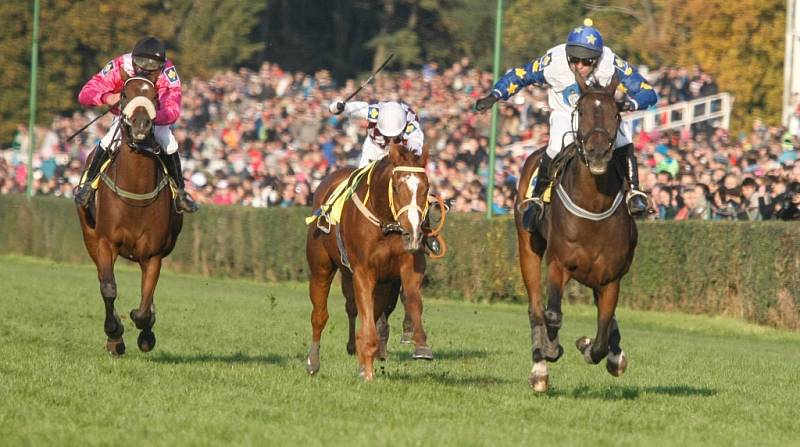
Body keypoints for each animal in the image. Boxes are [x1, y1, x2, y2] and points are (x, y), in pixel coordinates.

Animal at [76, 70, 183, 356]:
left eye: (155, 96)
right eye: (124, 94)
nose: (141, 125)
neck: (135, 190)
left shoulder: (154, 253)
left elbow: (145, 306)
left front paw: (145, 332)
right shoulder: (105, 242)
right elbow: (108, 288)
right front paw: (114, 335)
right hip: (89, 237)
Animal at [304, 144, 432, 382]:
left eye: (426, 188)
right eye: (397, 187)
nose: (413, 232)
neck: (386, 223)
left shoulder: (408, 265)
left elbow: (412, 300)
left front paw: (420, 345)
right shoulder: (363, 270)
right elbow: (363, 311)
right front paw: (368, 371)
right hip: (321, 267)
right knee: (319, 314)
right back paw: (313, 361)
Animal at [520, 75, 636, 394]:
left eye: (616, 113)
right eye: (581, 111)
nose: (597, 153)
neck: (593, 206)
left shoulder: (610, 278)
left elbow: (602, 335)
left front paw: (591, 346)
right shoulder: (558, 264)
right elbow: (552, 314)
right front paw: (550, 350)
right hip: (528, 249)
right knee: (536, 308)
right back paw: (539, 367)